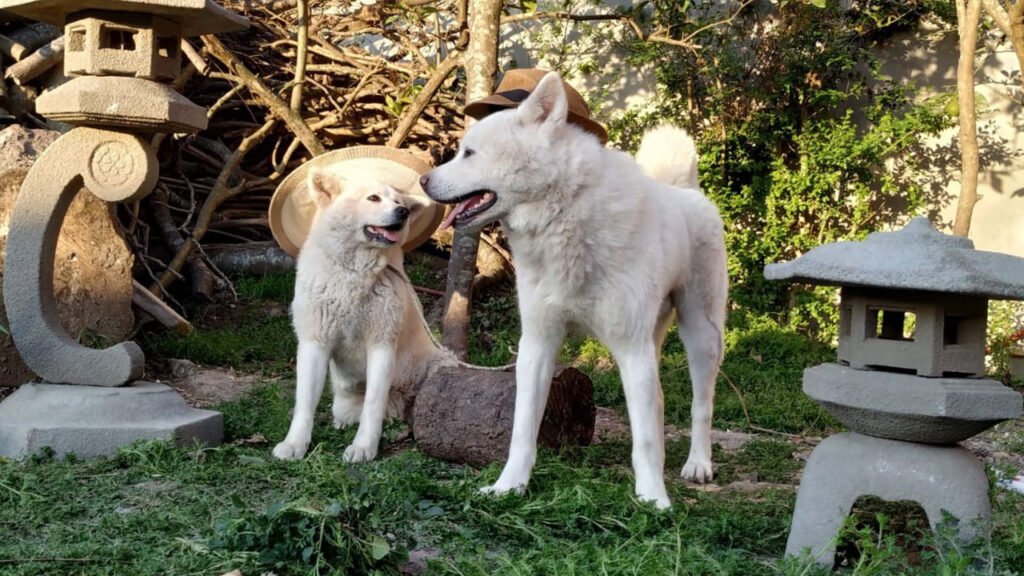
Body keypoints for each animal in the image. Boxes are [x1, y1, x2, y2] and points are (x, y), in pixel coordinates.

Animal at [272, 167, 452, 461]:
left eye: (399, 202)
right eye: (373, 198)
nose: (403, 212)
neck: (354, 273)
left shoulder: (381, 344)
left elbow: (373, 402)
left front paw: (364, 447)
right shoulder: (314, 343)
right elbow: (305, 402)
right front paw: (295, 443)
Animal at [417, 71, 729, 506]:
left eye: (469, 153)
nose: (421, 180)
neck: (564, 214)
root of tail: (688, 191)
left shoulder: (630, 348)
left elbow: (647, 439)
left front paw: (654, 498)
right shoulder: (537, 343)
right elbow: (522, 430)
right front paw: (509, 486)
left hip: (700, 335)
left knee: (702, 404)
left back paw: (698, 464)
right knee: (660, 402)